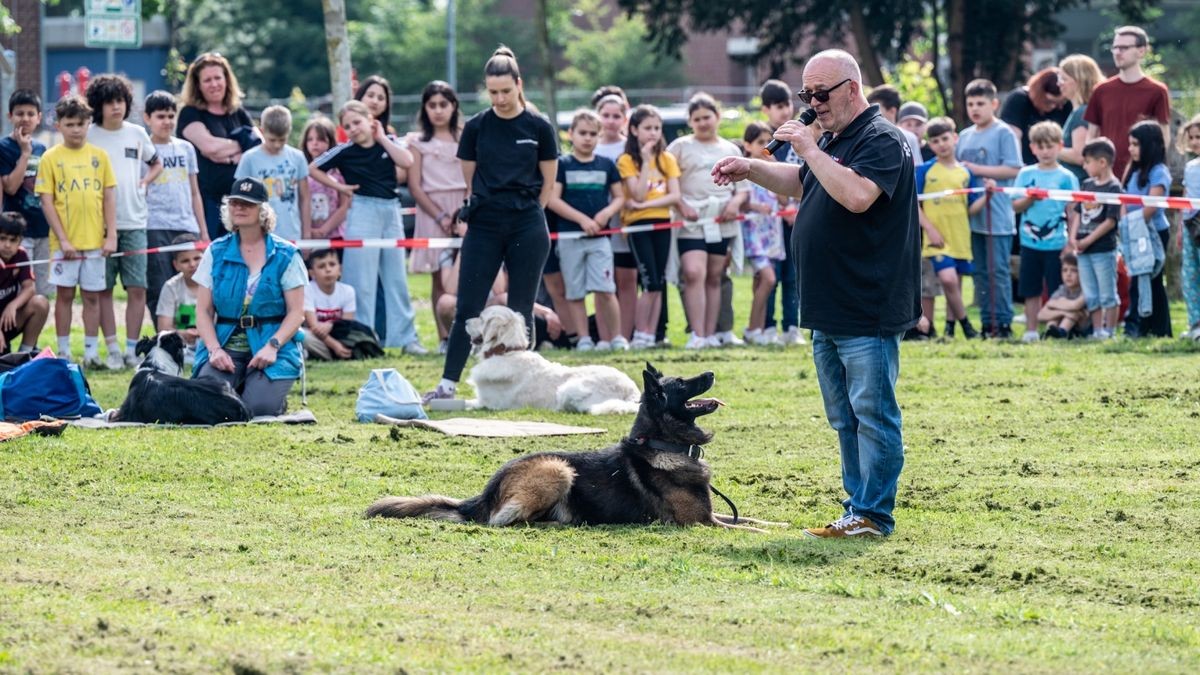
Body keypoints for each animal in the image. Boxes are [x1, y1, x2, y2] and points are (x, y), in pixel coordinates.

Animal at [364, 362, 787, 530]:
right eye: (682, 383)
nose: (711, 373)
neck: (664, 443)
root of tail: (485, 492)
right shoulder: (702, 523)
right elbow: (747, 529)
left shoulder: (715, 516)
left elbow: (756, 520)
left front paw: (783, 524)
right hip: (557, 467)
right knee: (506, 521)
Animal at [463, 306, 643, 413]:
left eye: (481, 318)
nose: (464, 321)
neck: (506, 352)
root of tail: (631, 390)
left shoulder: (487, 402)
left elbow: (468, 403)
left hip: (569, 389)